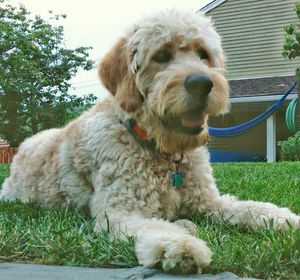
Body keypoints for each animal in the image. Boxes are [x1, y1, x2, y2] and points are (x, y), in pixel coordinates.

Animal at [0, 9, 300, 276]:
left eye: (203, 54)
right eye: (162, 56)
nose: (202, 83)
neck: (165, 153)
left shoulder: (208, 201)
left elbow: (245, 206)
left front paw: (283, 218)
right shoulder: (120, 211)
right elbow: (154, 227)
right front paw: (181, 247)